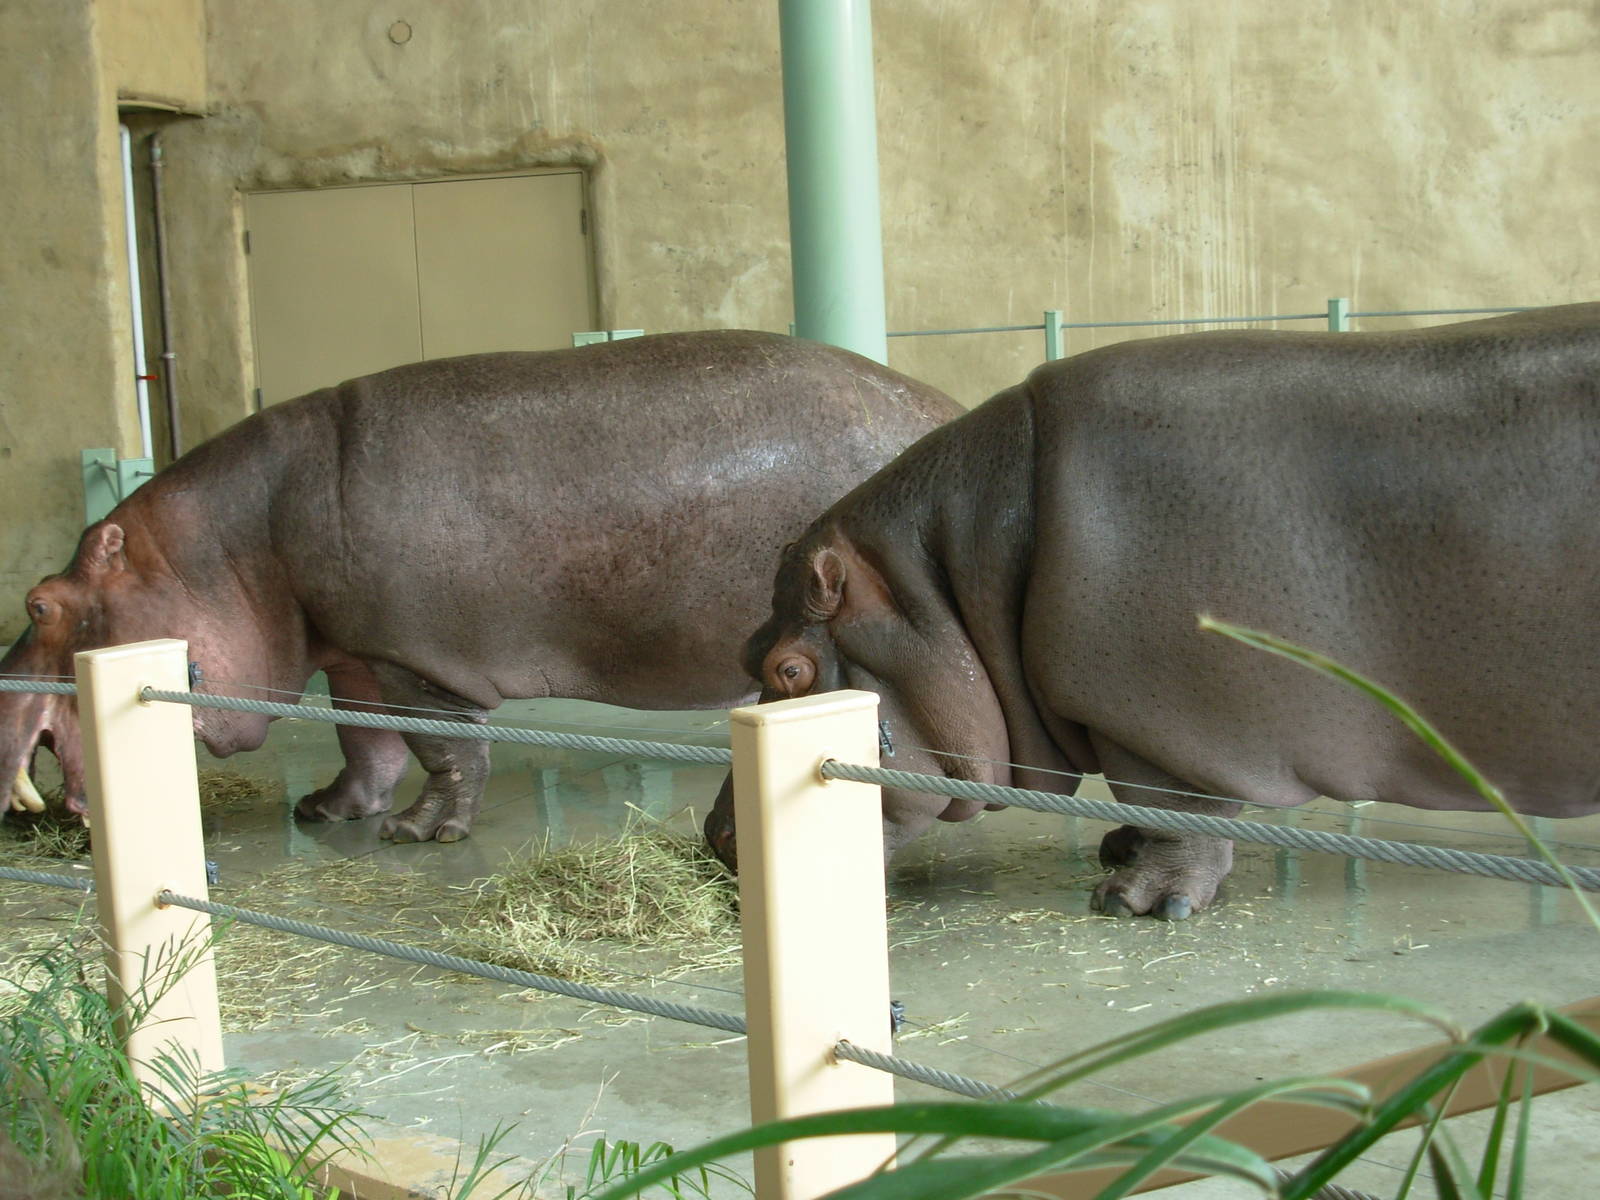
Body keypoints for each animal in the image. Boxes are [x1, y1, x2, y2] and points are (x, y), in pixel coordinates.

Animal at [2, 331, 959, 842]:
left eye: (40, 602)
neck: (230, 545)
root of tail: (946, 408)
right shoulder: (354, 651)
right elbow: (365, 742)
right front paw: (327, 811)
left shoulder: (416, 659)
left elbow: (439, 747)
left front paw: (418, 834)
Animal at [705, 304, 1600, 918]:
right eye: (745, 651)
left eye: (788, 668)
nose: (714, 836)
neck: (951, 583)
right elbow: (1145, 808)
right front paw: (1116, 849)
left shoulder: (1169, 720)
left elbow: (1176, 807)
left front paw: (1135, 900)